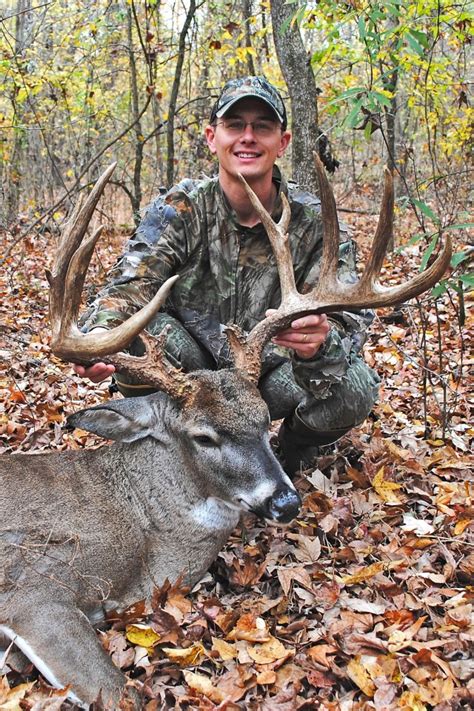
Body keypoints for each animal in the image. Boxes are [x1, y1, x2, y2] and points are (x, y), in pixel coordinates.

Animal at [0, 156, 451, 708]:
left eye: (262, 418)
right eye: (204, 436)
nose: (286, 501)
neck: (146, 537)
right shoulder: (35, 588)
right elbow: (120, 691)